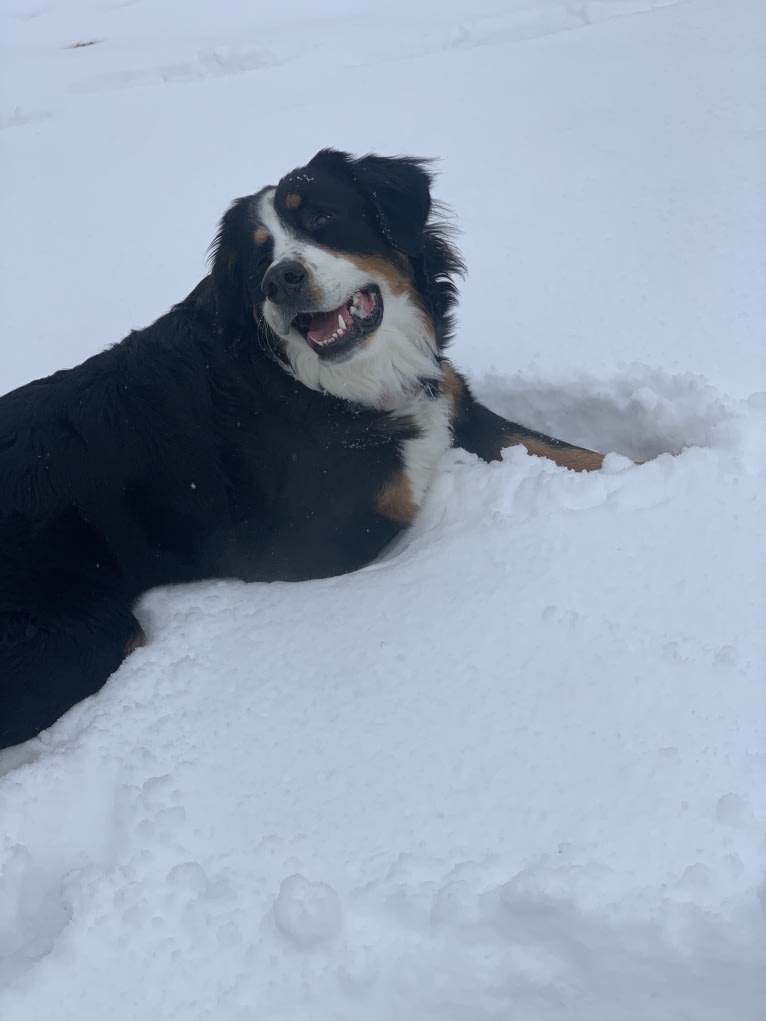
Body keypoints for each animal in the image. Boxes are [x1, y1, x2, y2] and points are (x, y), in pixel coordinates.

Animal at [0, 148, 604, 747]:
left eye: (321, 218)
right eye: (256, 258)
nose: (281, 280)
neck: (333, 383)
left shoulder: (458, 407)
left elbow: (572, 452)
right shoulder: (310, 544)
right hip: (80, 634)